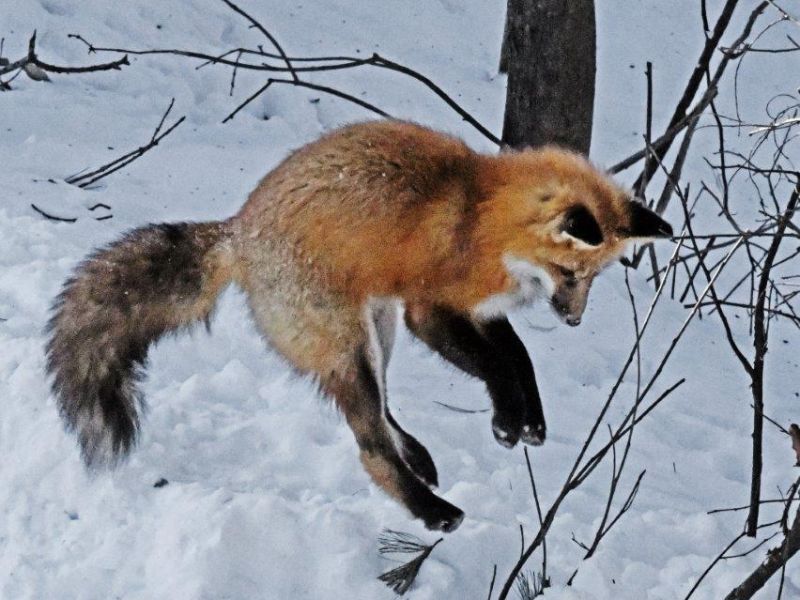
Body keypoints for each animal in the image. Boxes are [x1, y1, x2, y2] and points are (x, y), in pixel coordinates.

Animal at [46, 120, 672, 532]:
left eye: (592, 279)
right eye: (570, 273)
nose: (574, 320)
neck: (480, 218)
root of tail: (238, 231)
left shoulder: (477, 311)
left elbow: (519, 359)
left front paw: (529, 420)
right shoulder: (430, 309)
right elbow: (499, 364)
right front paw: (506, 421)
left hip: (378, 331)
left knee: (385, 414)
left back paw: (419, 460)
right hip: (352, 342)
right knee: (370, 446)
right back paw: (431, 511)